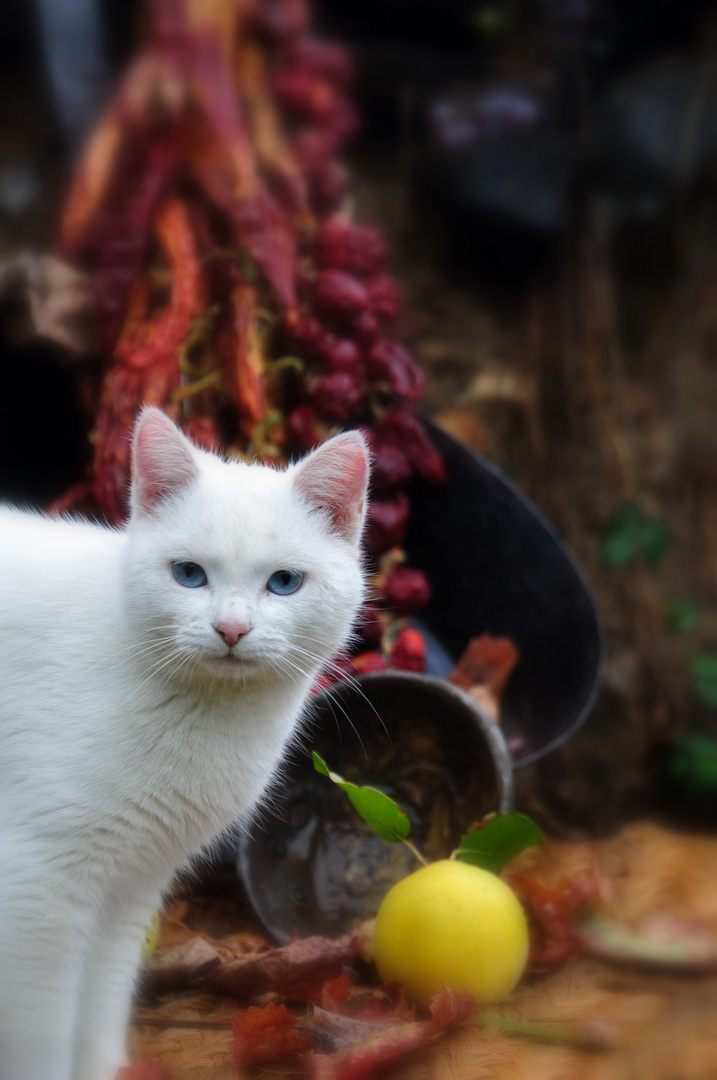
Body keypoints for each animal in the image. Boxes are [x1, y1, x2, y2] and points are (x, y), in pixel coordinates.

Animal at [0, 408, 369, 1080]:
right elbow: (42, 1035)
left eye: (284, 582)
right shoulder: (38, 886)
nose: (231, 629)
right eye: (188, 575)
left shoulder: (130, 888)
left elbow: (100, 1007)